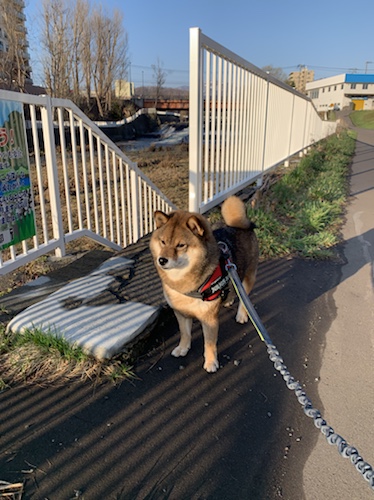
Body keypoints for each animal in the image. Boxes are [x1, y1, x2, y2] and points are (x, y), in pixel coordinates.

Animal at [149, 195, 258, 372]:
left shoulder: (209, 320)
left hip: (248, 277)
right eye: (163, 242)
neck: (185, 285)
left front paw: (211, 362)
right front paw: (183, 348)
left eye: (181, 245)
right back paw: (227, 300)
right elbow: (185, 334)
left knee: (244, 298)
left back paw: (242, 314)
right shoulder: (180, 313)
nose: (162, 260)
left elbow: (209, 344)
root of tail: (238, 225)